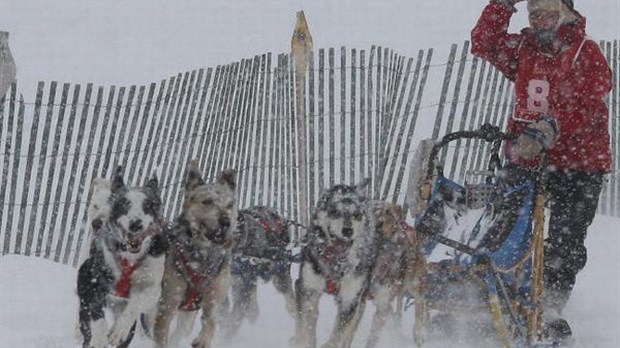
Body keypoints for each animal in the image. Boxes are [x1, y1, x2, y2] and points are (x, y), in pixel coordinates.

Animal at [76, 167, 168, 346]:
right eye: (123, 203)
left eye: (148, 206)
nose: (136, 224)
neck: (129, 257)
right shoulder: (91, 281)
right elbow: (96, 312)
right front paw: (100, 336)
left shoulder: (153, 289)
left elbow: (136, 303)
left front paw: (119, 329)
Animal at [154, 164, 239, 348]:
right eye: (207, 202)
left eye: (230, 204)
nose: (226, 222)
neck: (203, 256)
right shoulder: (168, 303)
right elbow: (161, 334)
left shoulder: (214, 298)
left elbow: (211, 321)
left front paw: (203, 339)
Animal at [292, 179, 376, 348]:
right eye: (335, 212)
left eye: (357, 215)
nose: (347, 230)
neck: (336, 265)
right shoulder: (308, 289)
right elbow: (307, 326)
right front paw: (305, 340)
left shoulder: (350, 300)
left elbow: (339, 334)